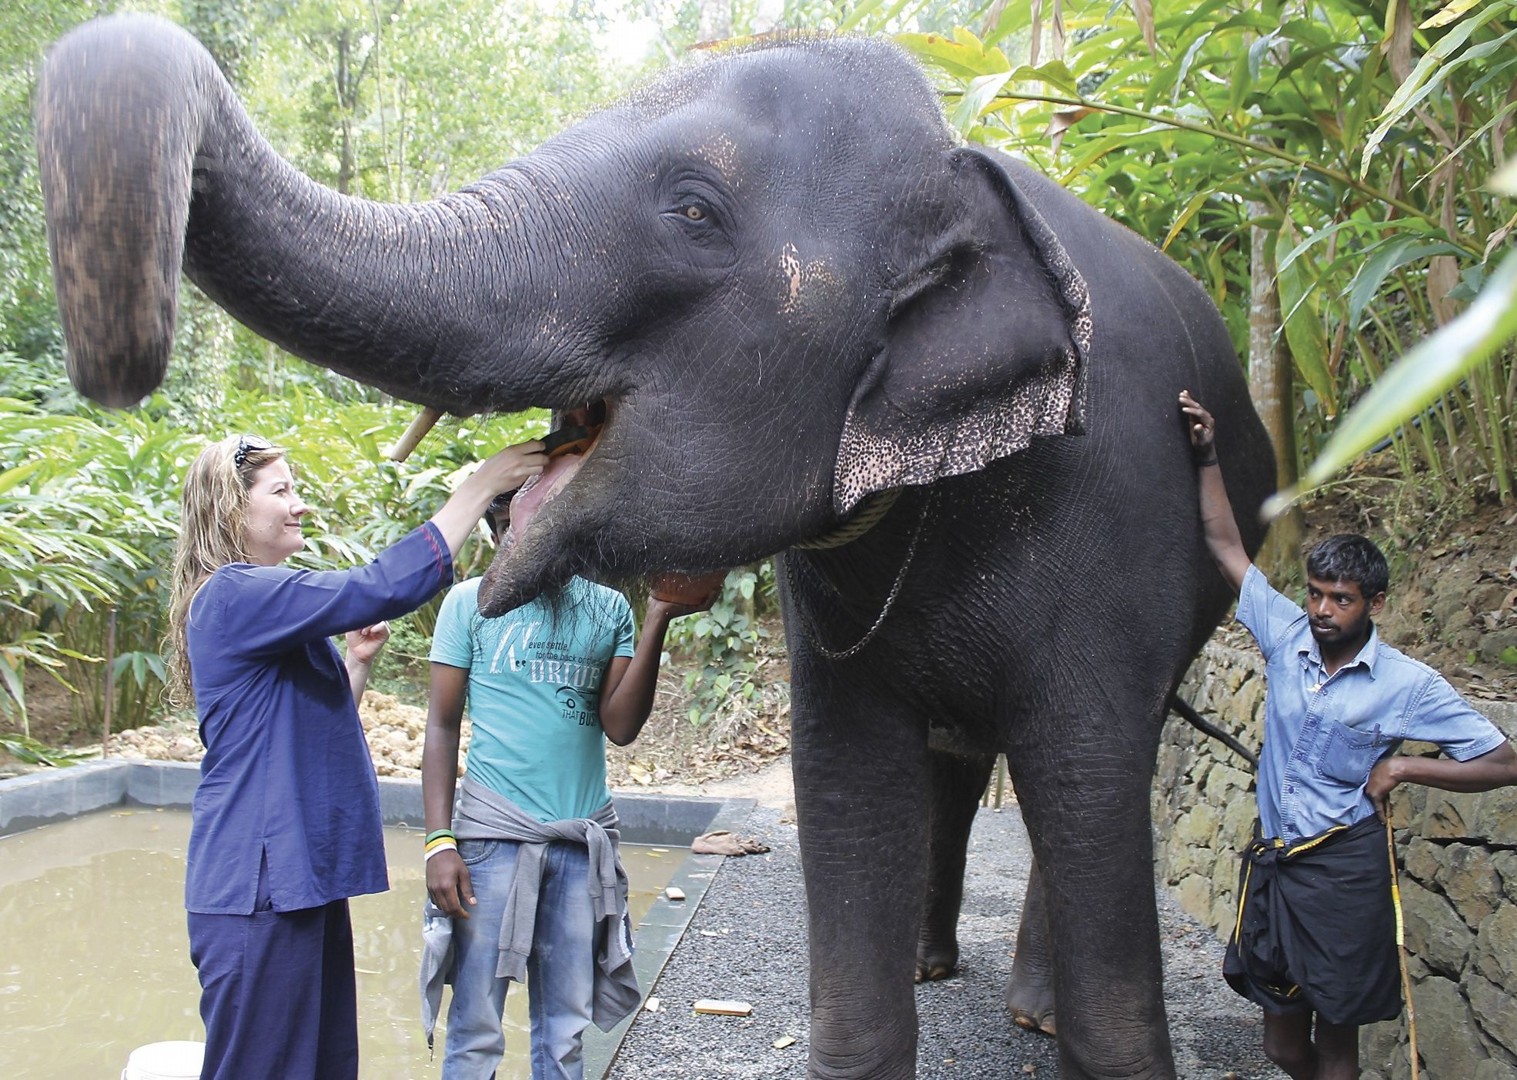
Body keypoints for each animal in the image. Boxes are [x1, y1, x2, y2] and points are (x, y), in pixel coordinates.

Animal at [32, 12, 1280, 1073]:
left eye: (691, 211)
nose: (119, 379)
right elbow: (845, 787)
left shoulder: (1111, 537)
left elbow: (1084, 770)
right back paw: (939, 968)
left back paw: (1029, 1011)